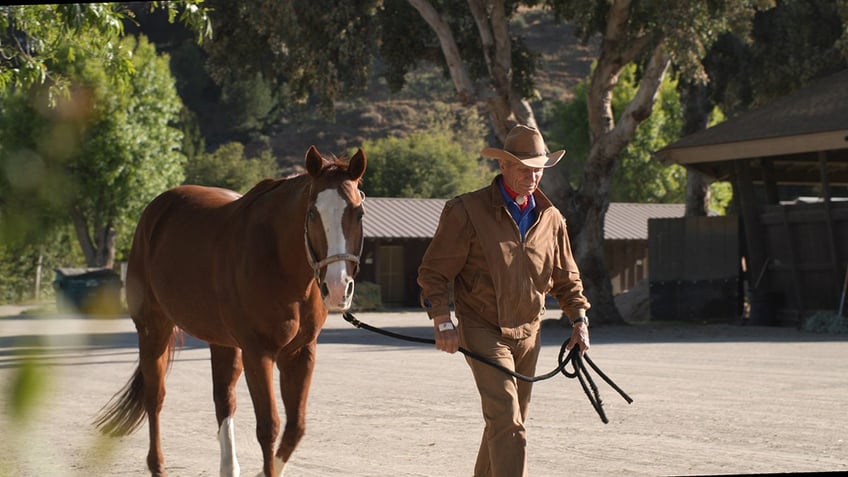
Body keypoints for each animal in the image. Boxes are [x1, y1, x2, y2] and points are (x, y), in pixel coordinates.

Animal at [95, 146, 364, 476]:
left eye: (359, 212)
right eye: (312, 213)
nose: (338, 288)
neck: (278, 260)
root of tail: (155, 212)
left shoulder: (300, 353)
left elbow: (295, 427)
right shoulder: (258, 353)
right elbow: (269, 427)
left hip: (222, 342)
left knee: (224, 400)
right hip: (153, 329)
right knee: (155, 398)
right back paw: (157, 465)